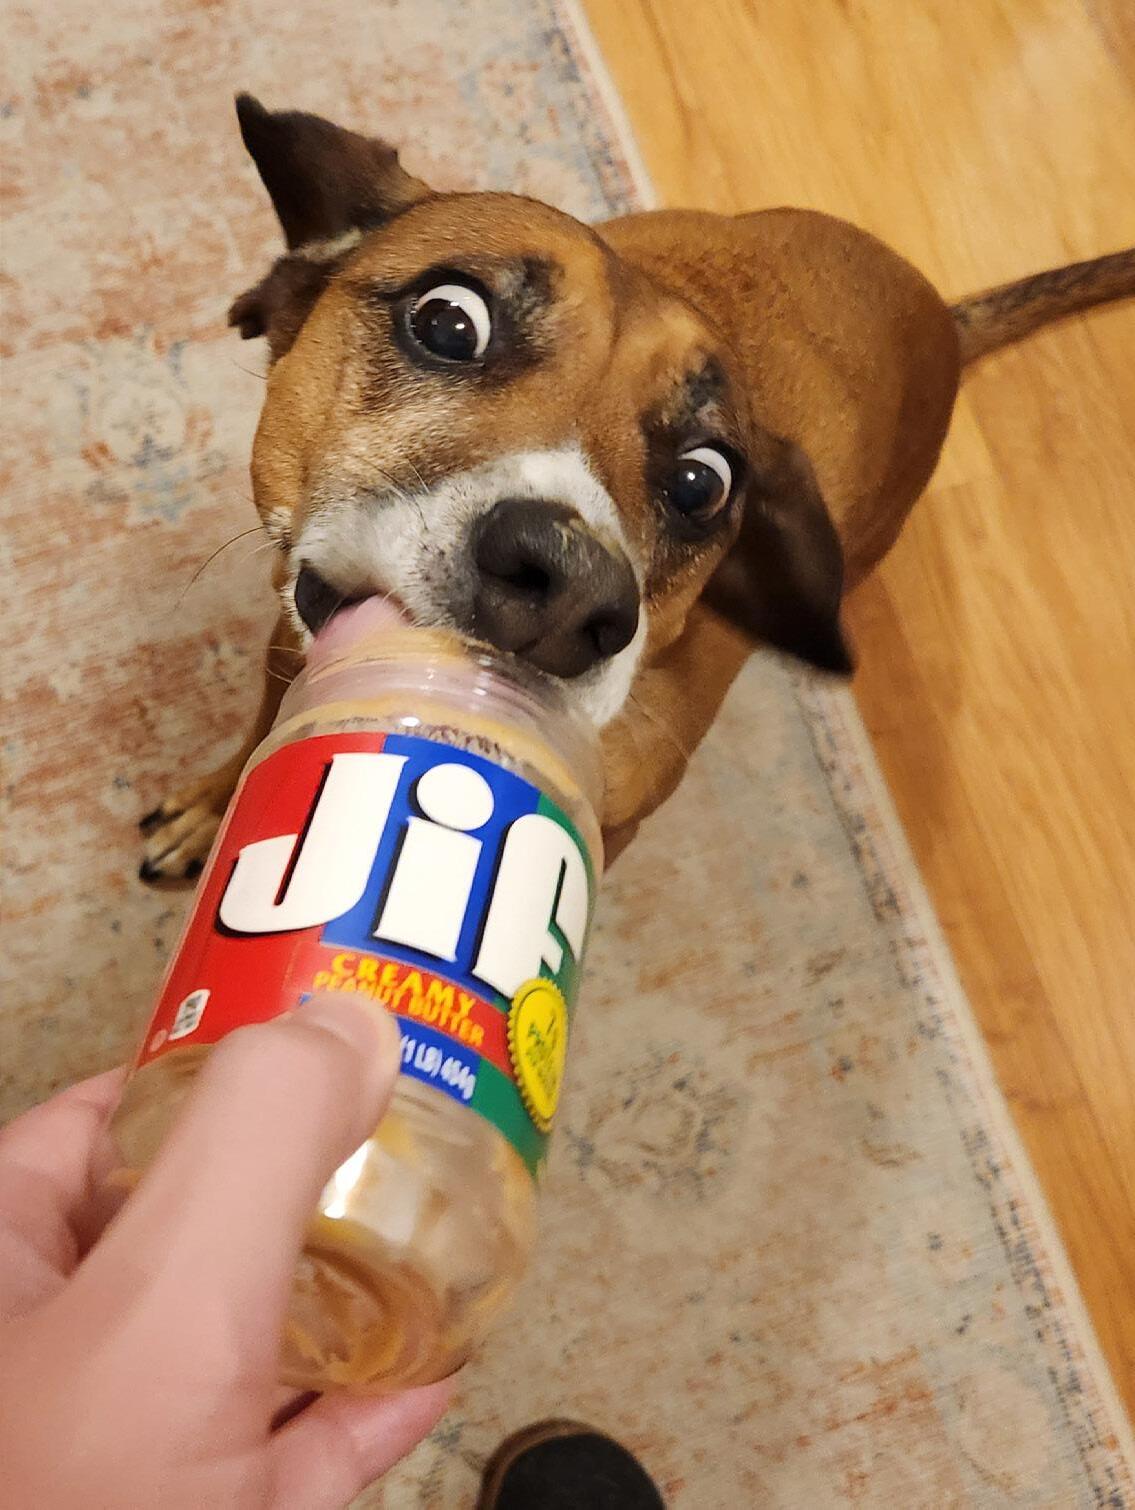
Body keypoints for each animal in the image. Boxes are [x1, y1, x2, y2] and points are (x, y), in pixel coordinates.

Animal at [140, 95, 1135, 878]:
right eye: (448, 321)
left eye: (702, 482)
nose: (568, 587)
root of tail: (945, 319)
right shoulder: (291, 643)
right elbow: (266, 730)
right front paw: (215, 808)